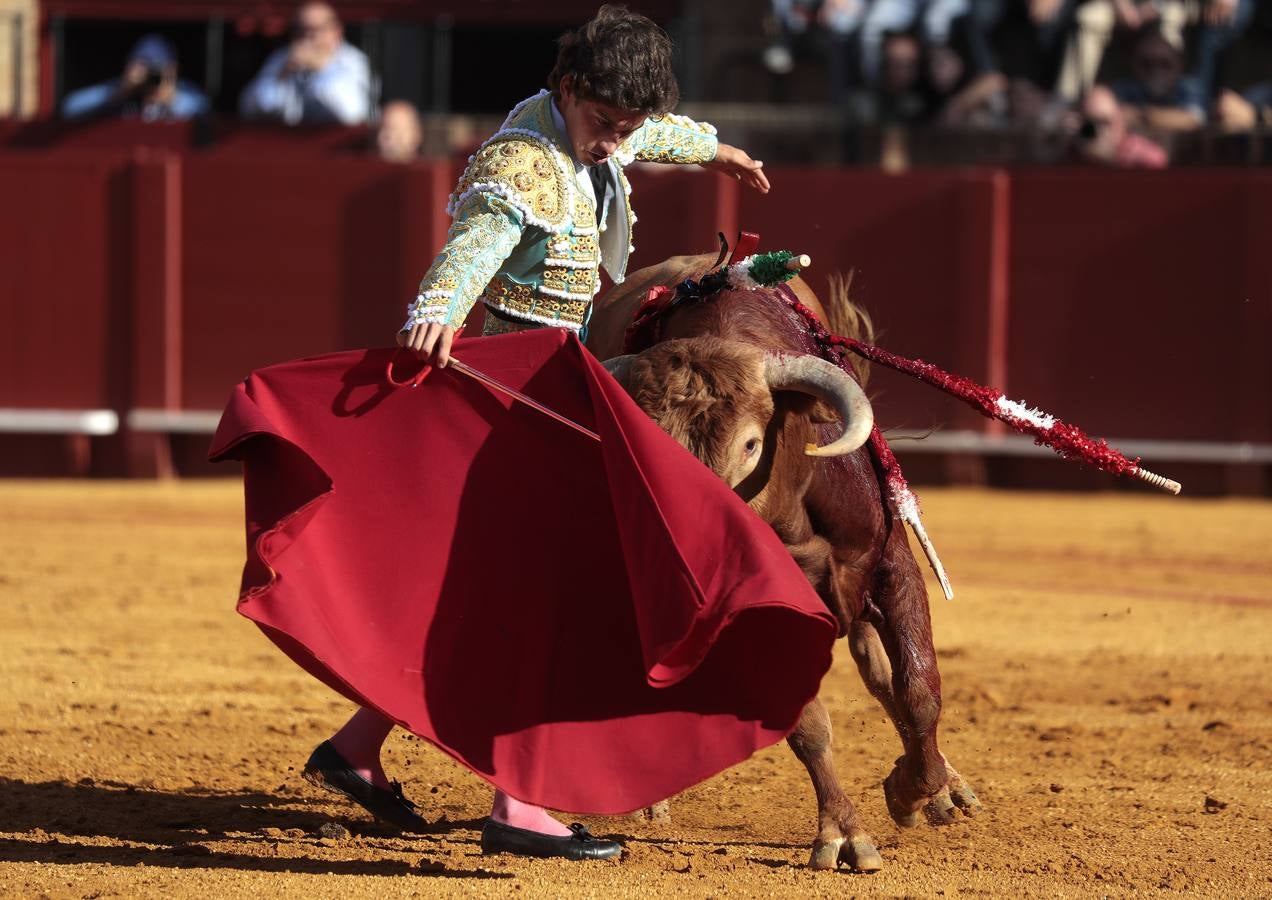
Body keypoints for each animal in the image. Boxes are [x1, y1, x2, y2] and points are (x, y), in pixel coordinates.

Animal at [587, 252, 981, 869]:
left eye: (750, 444)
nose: (689, 540)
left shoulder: (893, 566)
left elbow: (920, 690)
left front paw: (915, 791)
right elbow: (810, 726)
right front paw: (844, 833)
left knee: (880, 672)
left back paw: (948, 785)